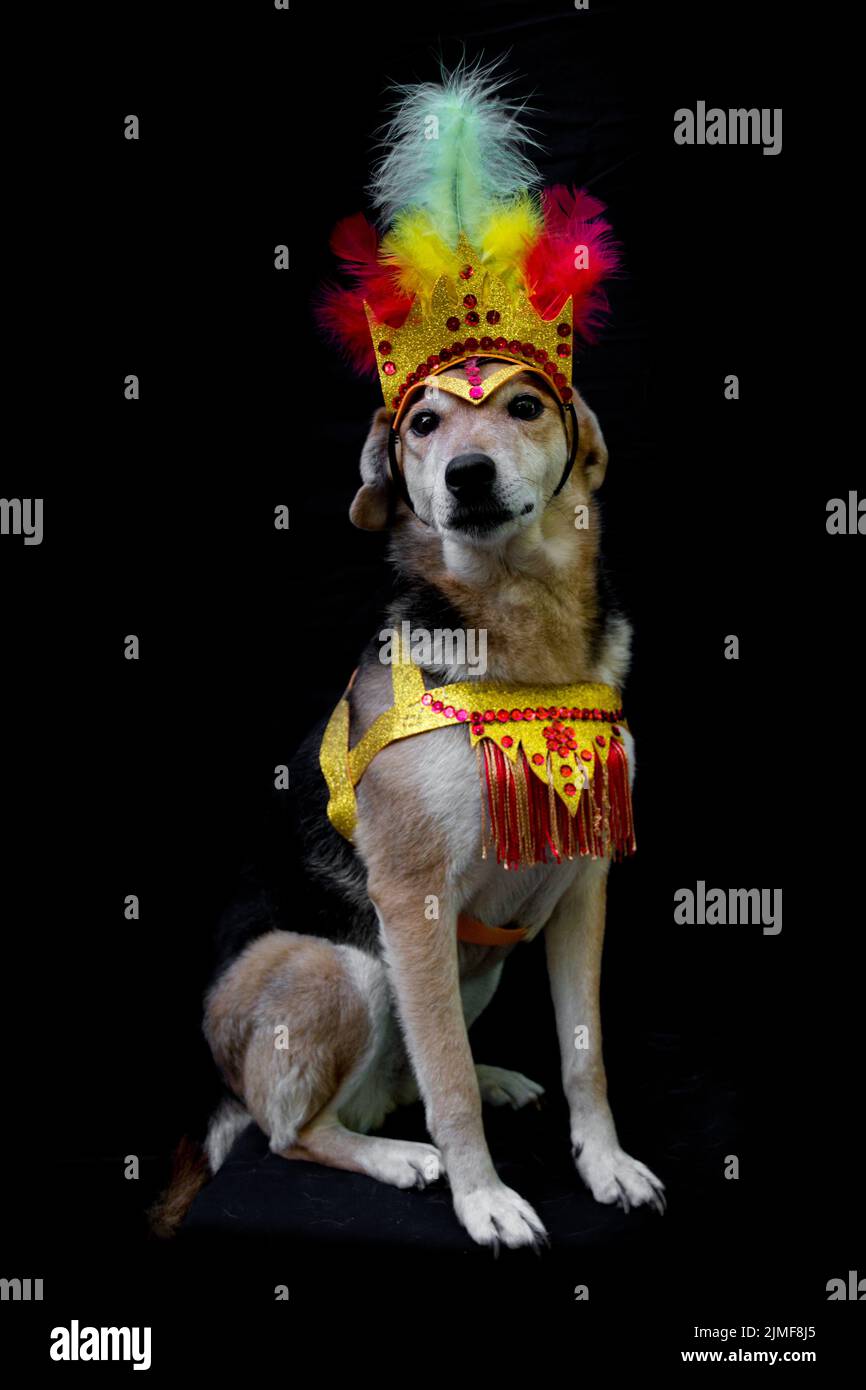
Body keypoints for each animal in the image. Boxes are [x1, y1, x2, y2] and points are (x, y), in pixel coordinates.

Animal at [162, 364, 667, 1256]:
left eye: (525, 407)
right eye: (424, 424)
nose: (467, 476)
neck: (520, 630)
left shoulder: (584, 886)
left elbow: (584, 1054)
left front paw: (606, 1165)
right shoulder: (412, 897)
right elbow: (448, 1080)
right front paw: (484, 1199)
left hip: (482, 966)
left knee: (406, 1078)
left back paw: (489, 1081)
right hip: (344, 966)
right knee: (295, 1131)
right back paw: (400, 1158)